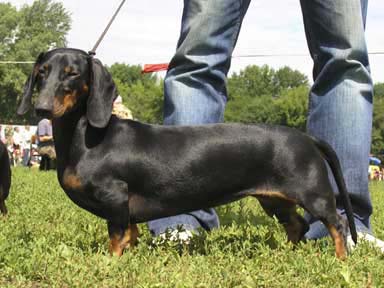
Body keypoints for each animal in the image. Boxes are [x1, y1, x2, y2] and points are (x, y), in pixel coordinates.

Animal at [18, 49, 356, 258]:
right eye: (42, 72)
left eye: (72, 73)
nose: (42, 108)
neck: (89, 137)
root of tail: (306, 136)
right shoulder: (126, 209)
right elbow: (130, 235)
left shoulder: (114, 198)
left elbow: (116, 237)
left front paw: (110, 262)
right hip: (274, 200)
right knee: (297, 225)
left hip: (314, 195)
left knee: (337, 224)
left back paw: (340, 259)